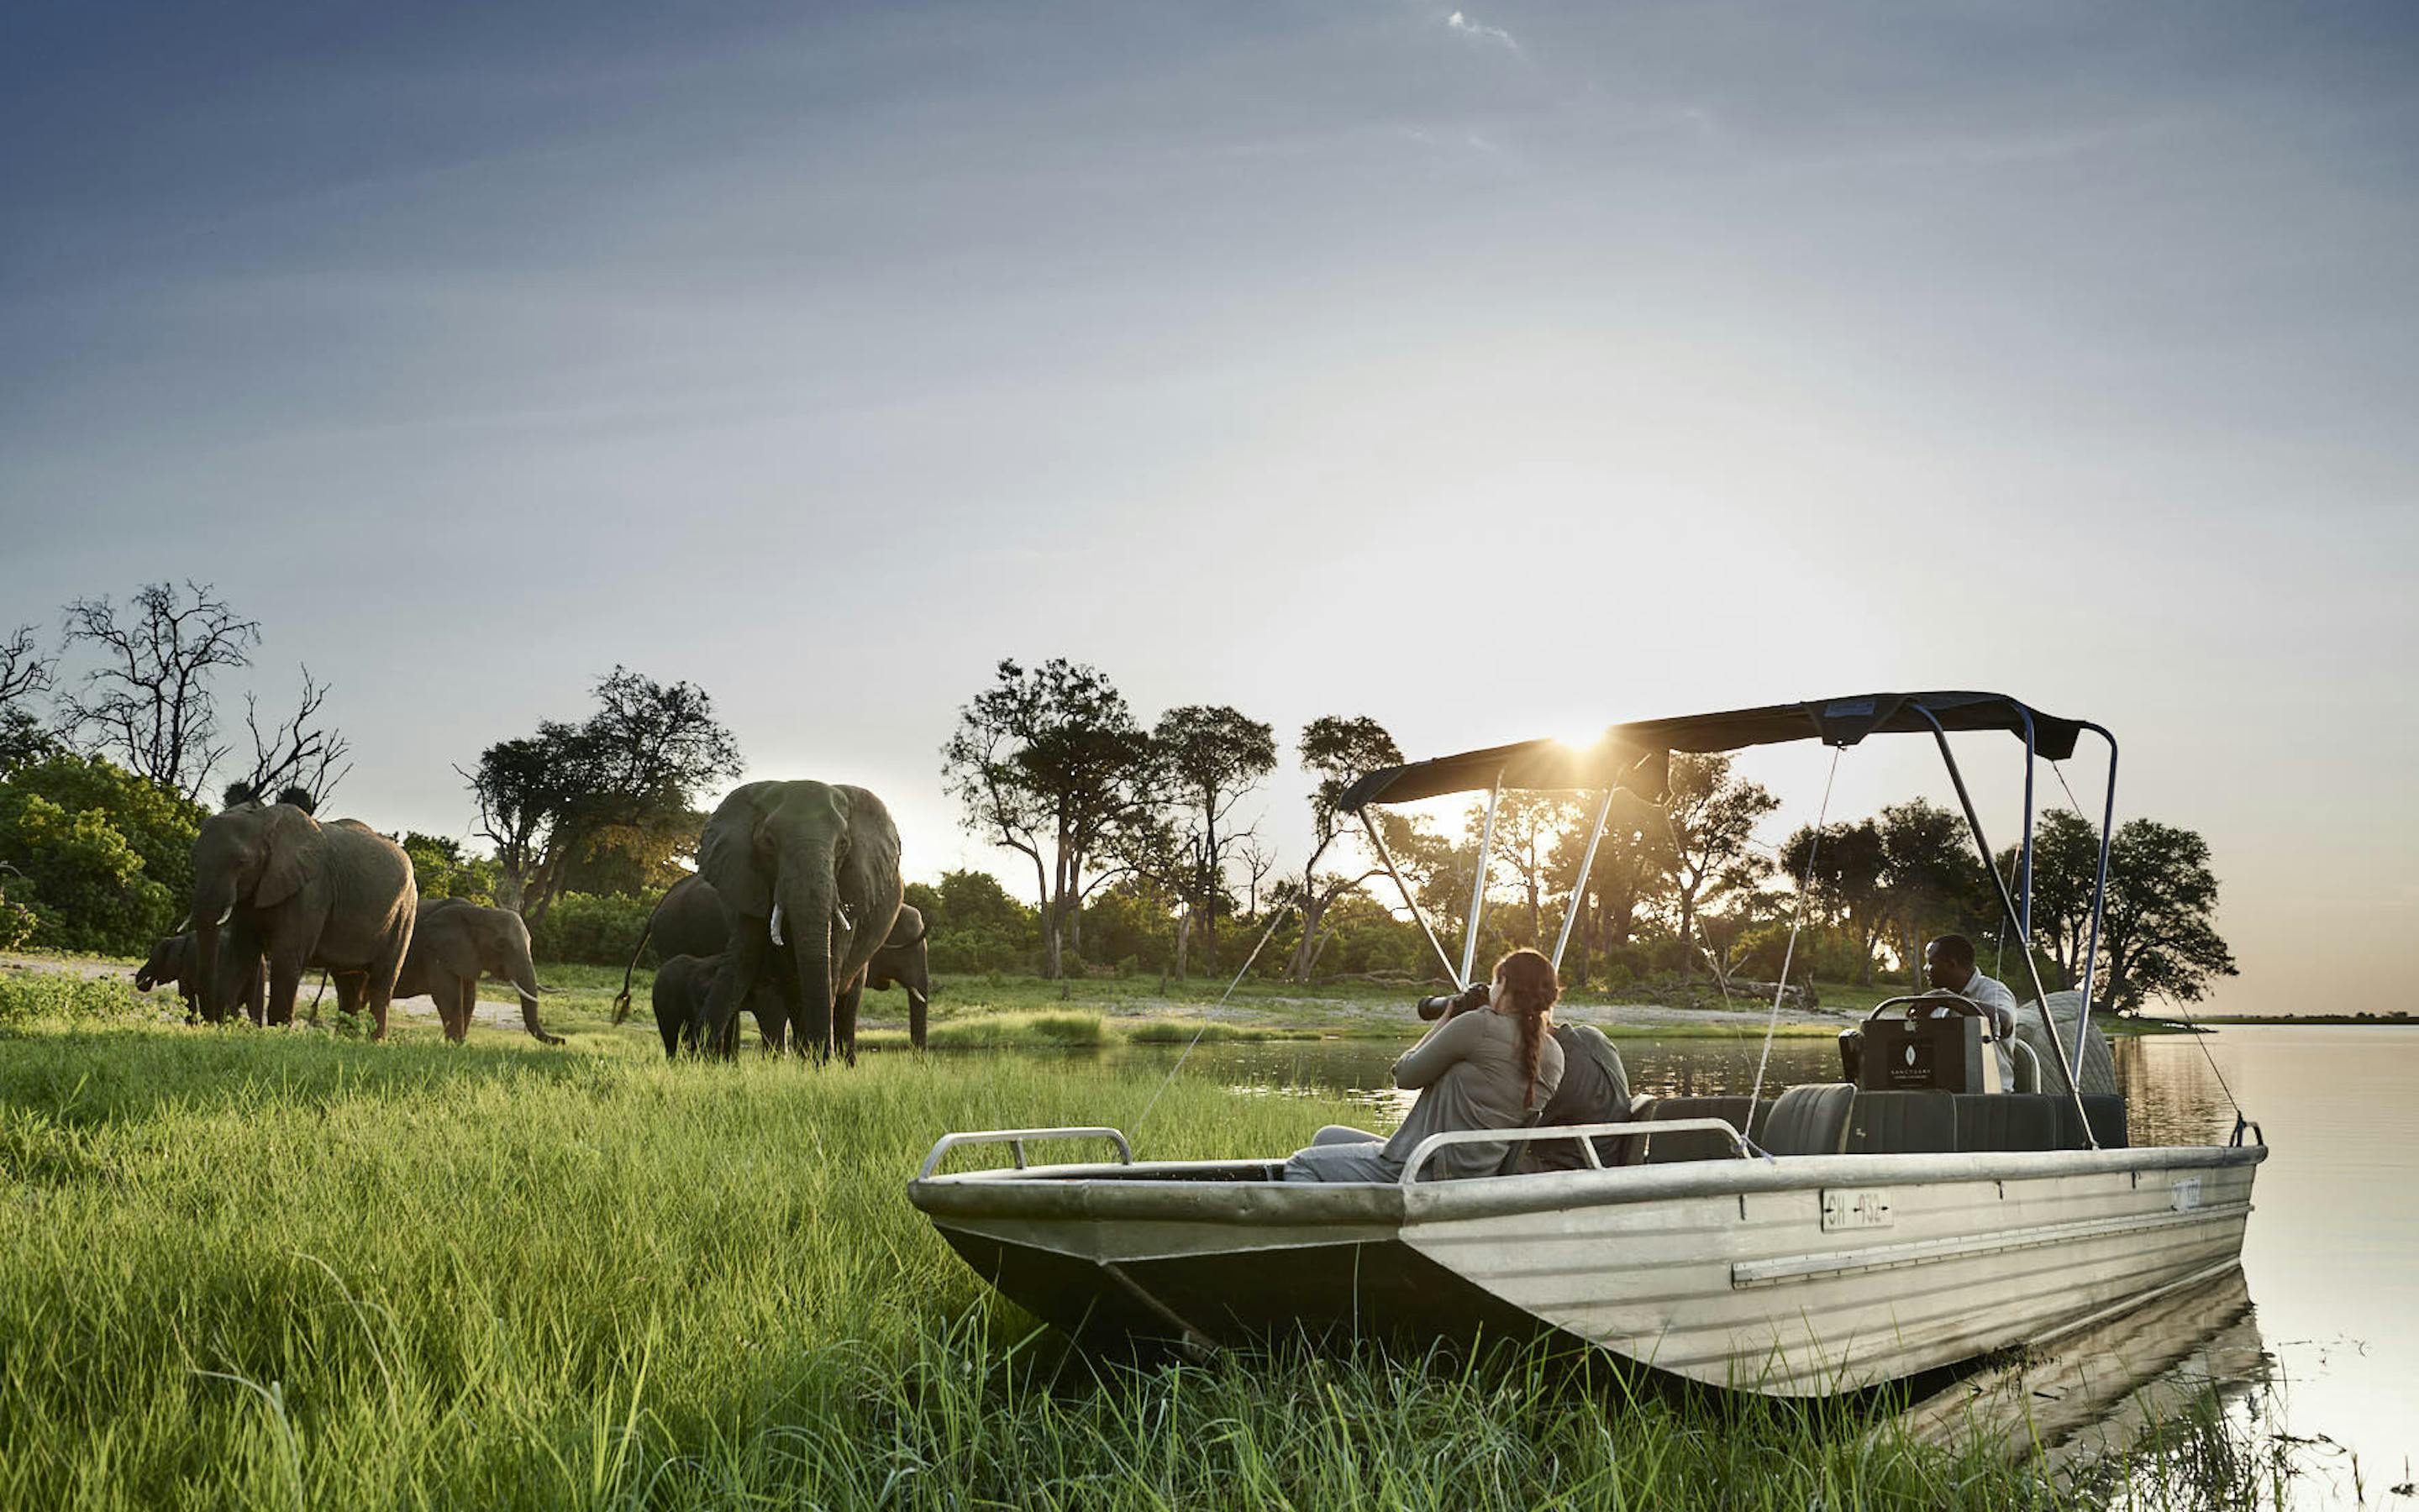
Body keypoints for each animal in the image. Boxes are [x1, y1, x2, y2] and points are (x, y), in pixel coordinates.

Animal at [188, 796, 418, 1038]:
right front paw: (230, 1026)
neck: (264, 818)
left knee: (382, 982)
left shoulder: (311, 891)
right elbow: (242, 953)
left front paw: (277, 1034)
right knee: (348, 985)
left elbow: (287, 954)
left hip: (404, 913)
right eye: (194, 858)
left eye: (242, 862)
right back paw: (346, 1039)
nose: (209, 1022)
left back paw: (374, 1041)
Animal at [331, 898, 561, 1044]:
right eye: (500, 944)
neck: (479, 912)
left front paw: (461, 1044)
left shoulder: (467, 955)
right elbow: (448, 997)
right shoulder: (436, 949)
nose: (562, 1041)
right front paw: (456, 1045)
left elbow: (469, 998)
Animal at [695, 780, 902, 1063]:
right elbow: (740, 961)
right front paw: (691, 1059)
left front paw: (820, 1065)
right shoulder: (748, 881)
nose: (825, 1060)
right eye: (768, 843)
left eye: (843, 845)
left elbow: (831, 966)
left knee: (846, 1000)